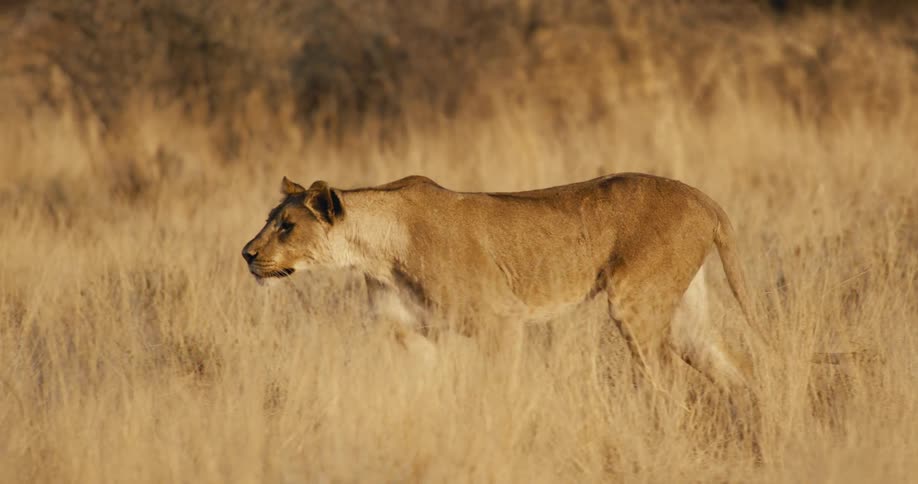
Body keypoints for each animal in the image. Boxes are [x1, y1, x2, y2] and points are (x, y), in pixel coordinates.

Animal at [242, 173, 773, 390]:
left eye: (287, 227)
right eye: (269, 220)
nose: (247, 255)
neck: (376, 250)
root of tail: (704, 198)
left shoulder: (500, 319)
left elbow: (500, 383)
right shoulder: (407, 328)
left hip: (633, 301)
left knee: (667, 381)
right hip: (683, 315)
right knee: (737, 366)